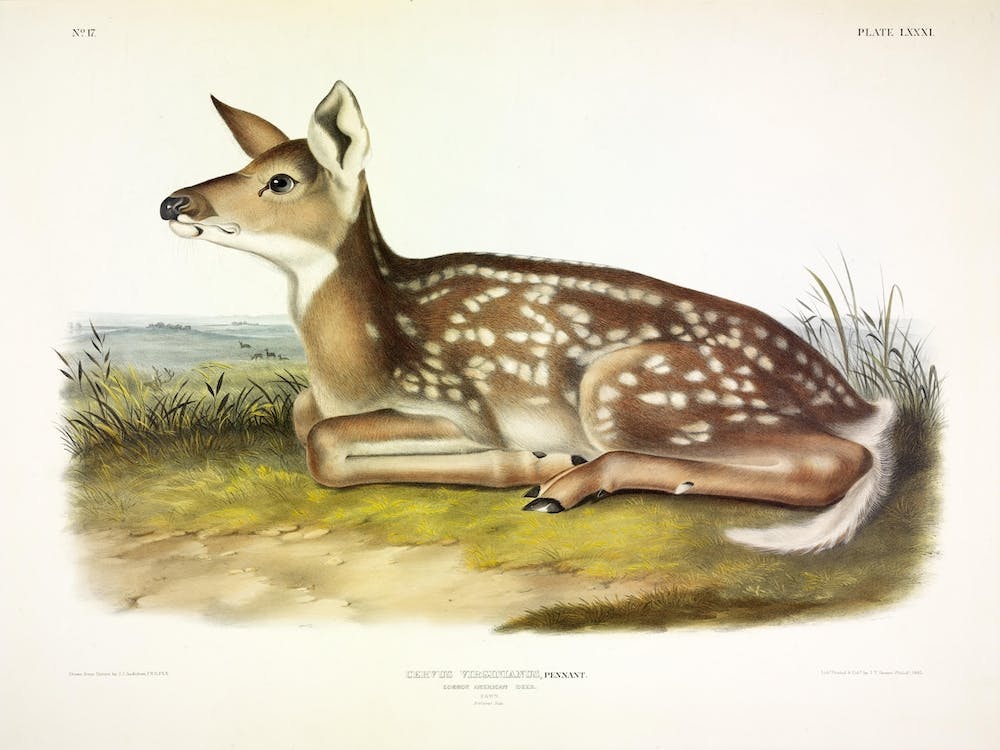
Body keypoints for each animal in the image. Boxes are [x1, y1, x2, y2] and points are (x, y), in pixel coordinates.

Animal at [160, 81, 896, 553]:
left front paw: (522, 462)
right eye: (246, 164)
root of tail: (859, 400)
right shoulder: (325, 399)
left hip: (632, 388)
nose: (173, 203)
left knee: (840, 460)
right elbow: (303, 418)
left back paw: (564, 480)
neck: (353, 366)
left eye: (280, 181)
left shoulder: (459, 403)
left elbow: (324, 443)